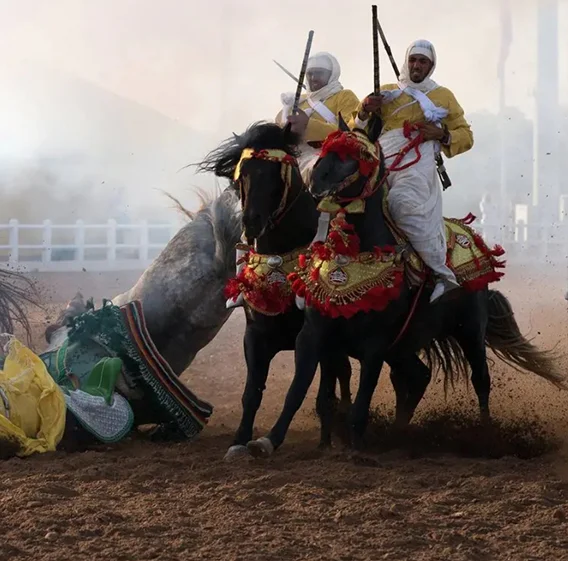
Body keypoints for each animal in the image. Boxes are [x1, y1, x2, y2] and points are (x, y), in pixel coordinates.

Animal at [246, 117, 564, 456]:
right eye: (326, 149)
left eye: (362, 156)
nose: (318, 183)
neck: (353, 257)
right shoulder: (315, 334)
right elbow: (297, 390)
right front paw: (266, 441)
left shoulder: (374, 344)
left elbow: (361, 400)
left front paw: (356, 447)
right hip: (404, 345)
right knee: (416, 377)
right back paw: (399, 435)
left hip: (469, 331)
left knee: (480, 379)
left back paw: (486, 436)